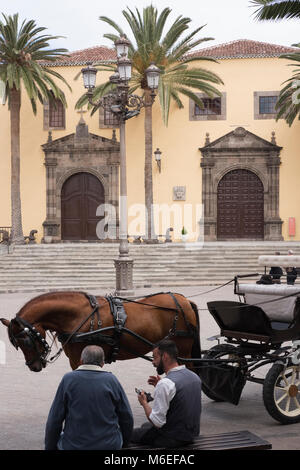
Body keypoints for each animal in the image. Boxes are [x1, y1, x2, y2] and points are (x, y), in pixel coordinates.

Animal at [1, 288, 202, 372]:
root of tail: (184, 300)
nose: (33, 366)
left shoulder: (79, 358)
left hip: (183, 350)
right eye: (17, 345)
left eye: (26, 341)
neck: (80, 316)